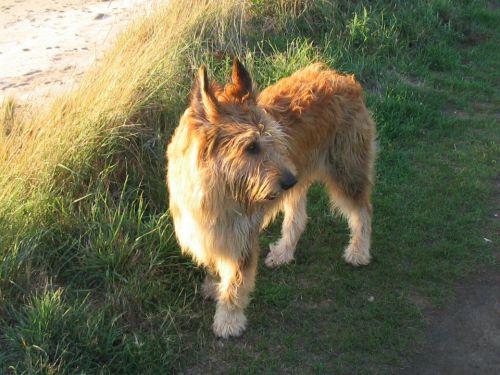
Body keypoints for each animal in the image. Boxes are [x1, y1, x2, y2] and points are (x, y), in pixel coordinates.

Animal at [167, 58, 376, 338]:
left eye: (275, 140)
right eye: (251, 147)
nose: (289, 180)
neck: (214, 190)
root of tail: (344, 78)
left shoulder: (241, 236)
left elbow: (236, 282)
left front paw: (228, 320)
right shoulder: (205, 231)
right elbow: (214, 263)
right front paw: (214, 286)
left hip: (345, 171)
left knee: (362, 211)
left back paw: (359, 251)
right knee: (297, 218)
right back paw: (284, 252)